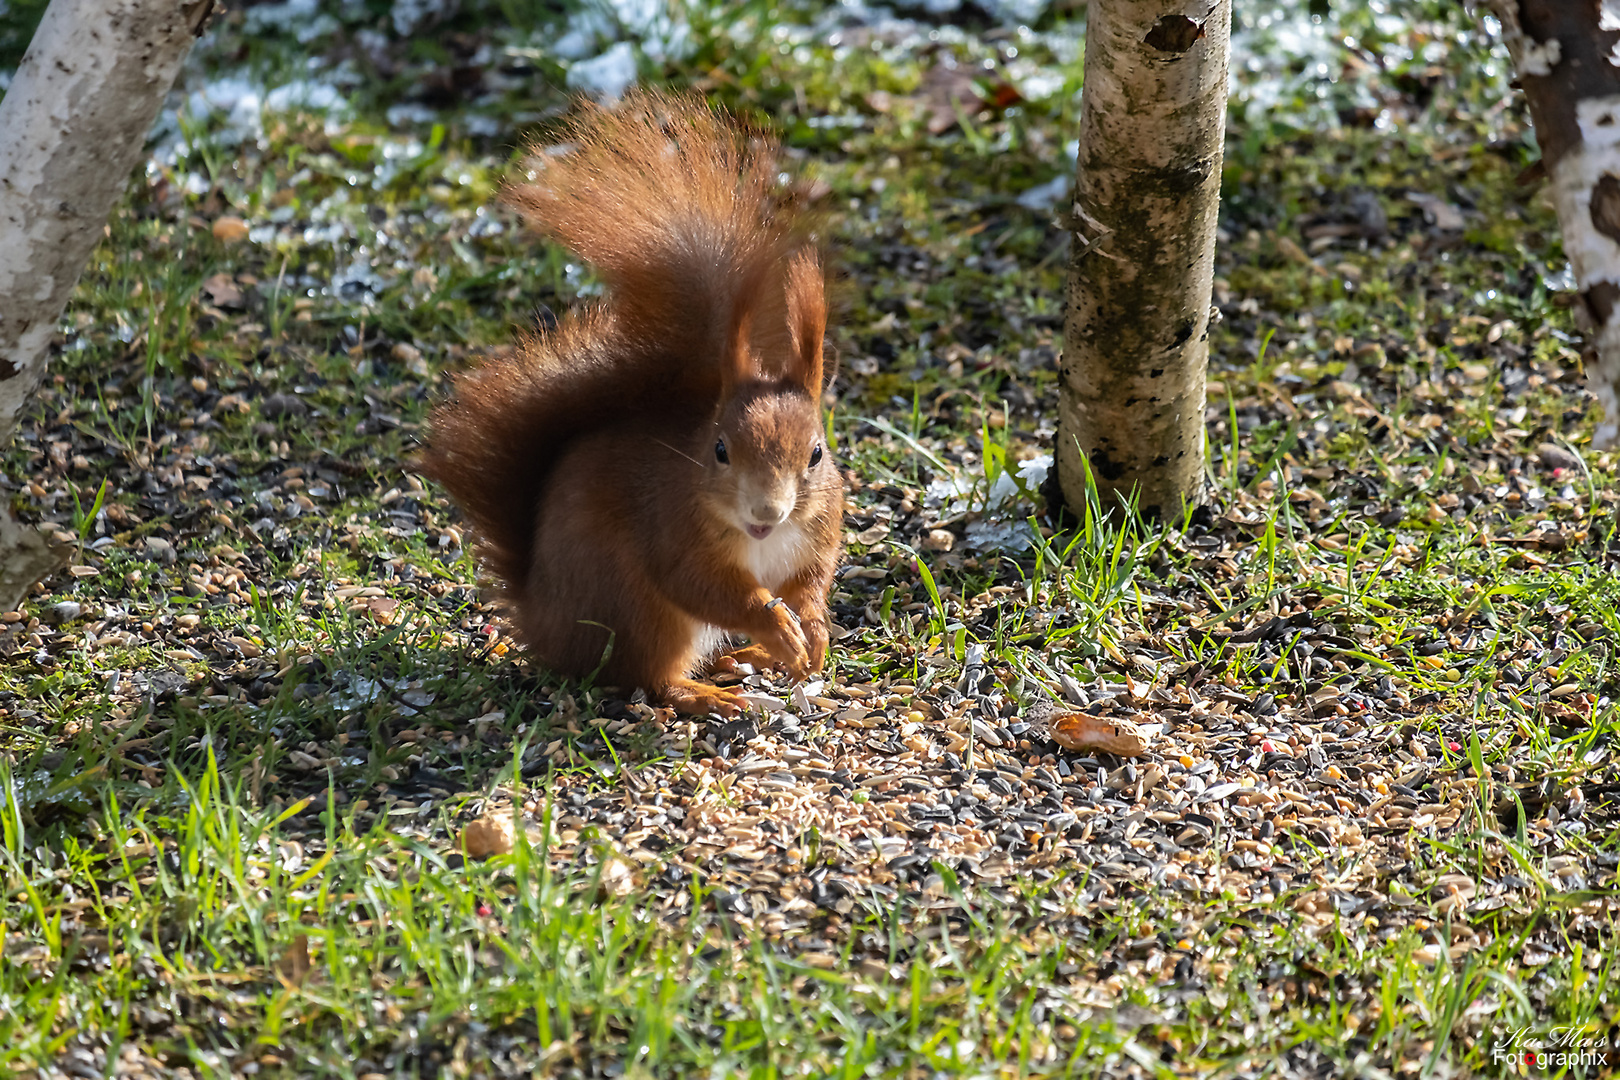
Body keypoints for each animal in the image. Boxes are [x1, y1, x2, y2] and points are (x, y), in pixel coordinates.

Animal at [417, 93, 848, 718]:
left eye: (816, 454)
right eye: (720, 449)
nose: (767, 512)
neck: (762, 541)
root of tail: (544, 626)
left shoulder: (819, 532)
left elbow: (812, 584)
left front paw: (809, 632)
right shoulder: (672, 528)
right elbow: (702, 585)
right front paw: (776, 627)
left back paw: (744, 661)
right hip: (639, 610)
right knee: (646, 676)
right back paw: (709, 691)